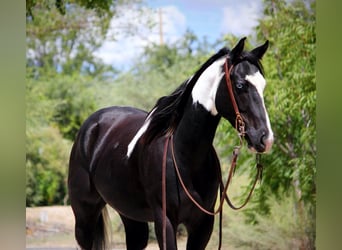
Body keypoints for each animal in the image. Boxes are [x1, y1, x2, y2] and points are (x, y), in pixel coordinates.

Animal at [68, 37, 274, 250]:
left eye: (263, 86)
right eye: (240, 85)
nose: (265, 138)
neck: (184, 155)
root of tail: (92, 124)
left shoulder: (202, 225)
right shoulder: (165, 221)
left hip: (130, 215)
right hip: (84, 214)